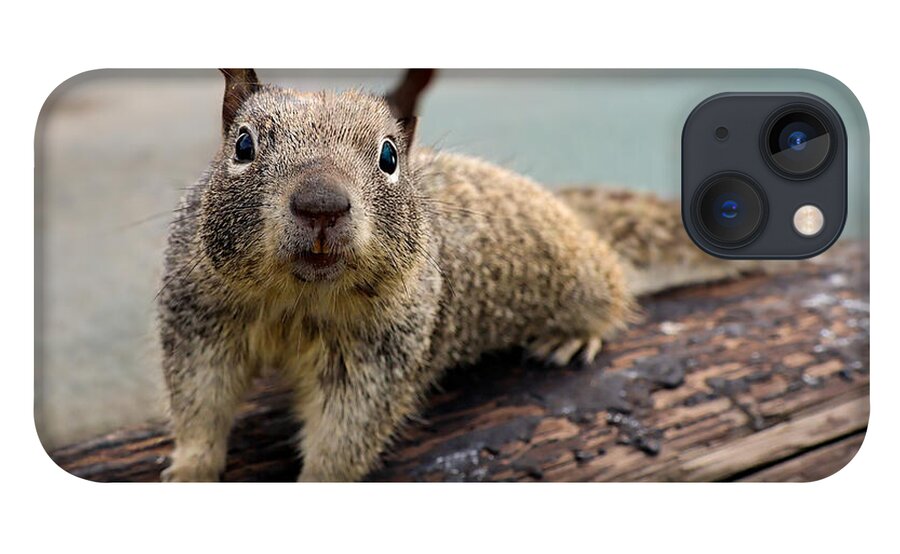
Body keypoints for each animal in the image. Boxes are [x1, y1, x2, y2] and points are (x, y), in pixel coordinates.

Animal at [159, 69, 749, 481]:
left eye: (389, 156)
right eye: (243, 145)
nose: (321, 204)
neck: (299, 299)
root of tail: (572, 214)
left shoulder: (380, 355)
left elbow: (345, 434)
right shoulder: (201, 320)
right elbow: (200, 402)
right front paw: (189, 469)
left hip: (581, 276)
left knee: (612, 290)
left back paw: (574, 335)